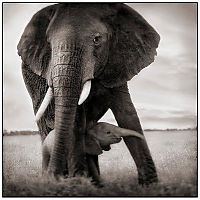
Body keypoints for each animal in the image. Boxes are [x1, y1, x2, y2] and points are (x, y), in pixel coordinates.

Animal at [18, 2, 160, 184]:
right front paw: (81, 182)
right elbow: (77, 117)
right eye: (49, 44)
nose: (55, 176)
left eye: (97, 40)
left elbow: (127, 112)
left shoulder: (117, 63)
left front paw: (151, 185)